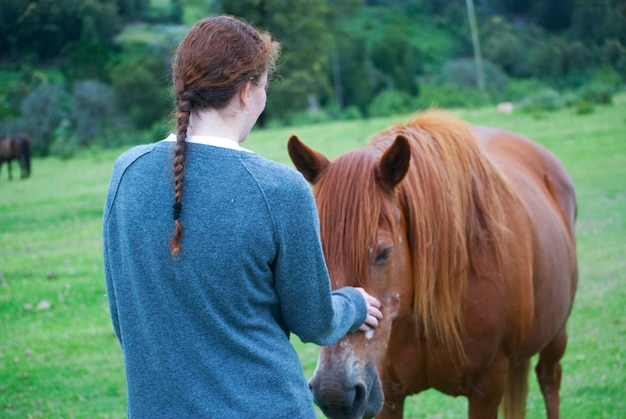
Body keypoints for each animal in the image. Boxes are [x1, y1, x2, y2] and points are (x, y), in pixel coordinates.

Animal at [288, 110, 576, 419]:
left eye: (383, 252)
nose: (333, 392)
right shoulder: (388, 394)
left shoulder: (488, 387)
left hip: (556, 336)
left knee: (549, 379)